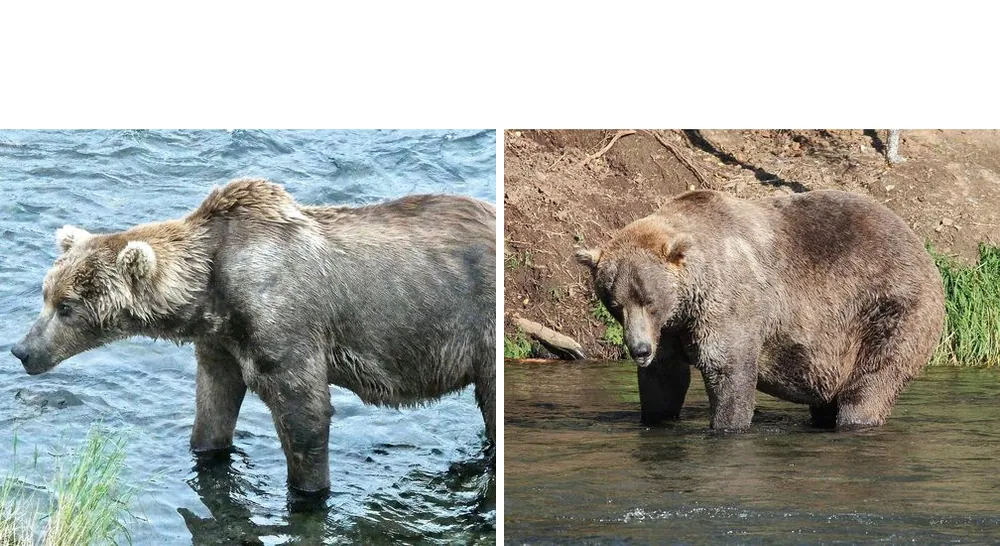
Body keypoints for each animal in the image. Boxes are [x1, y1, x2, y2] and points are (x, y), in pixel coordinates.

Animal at [11, 178, 496, 494]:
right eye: (45, 294)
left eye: (67, 306)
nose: (21, 350)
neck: (212, 291)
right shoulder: (220, 343)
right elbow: (214, 405)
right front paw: (206, 450)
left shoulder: (284, 323)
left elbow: (305, 415)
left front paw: (309, 491)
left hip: (479, 327)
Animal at [575, 189, 944, 432]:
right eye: (615, 304)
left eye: (649, 300)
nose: (639, 349)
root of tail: (920, 246)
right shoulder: (671, 329)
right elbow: (664, 379)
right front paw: (656, 417)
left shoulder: (729, 304)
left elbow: (728, 370)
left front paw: (727, 424)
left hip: (887, 308)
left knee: (871, 381)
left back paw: (856, 419)